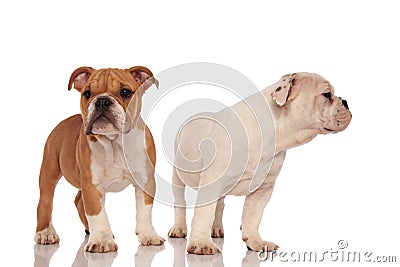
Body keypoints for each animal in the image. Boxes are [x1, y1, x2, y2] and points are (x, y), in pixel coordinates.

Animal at [35, 66, 165, 253]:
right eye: (87, 93)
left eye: (125, 92)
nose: (102, 101)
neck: (114, 143)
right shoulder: (92, 185)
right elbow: (97, 213)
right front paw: (102, 240)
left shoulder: (145, 181)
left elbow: (144, 211)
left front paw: (149, 235)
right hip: (49, 170)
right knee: (45, 201)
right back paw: (45, 233)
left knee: (78, 201)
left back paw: (89, 230)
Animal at [167, 73, 352, 255]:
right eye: (326, 95)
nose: (345, 101)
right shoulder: (212, 182)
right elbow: (204, 214)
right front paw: (201, 244)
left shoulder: (263, 188)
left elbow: (253, 216)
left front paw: (256, 242)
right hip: (178, 175)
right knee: (180, 202)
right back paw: (179, 229)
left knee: (219, 206)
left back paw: (217, 229)